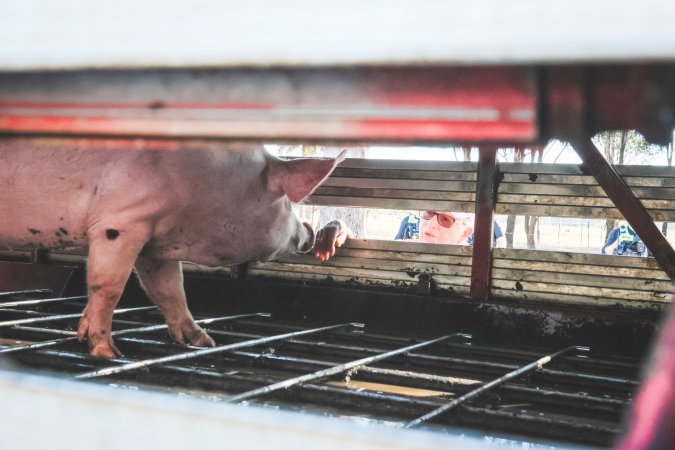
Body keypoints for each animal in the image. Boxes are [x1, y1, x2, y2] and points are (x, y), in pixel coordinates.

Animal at [0, 139, 346, 356]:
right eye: (286, 202)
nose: (309, 231)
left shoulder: (155, 241)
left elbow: (170, 290)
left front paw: (204, 342)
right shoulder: (121, 221)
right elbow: (108, 286)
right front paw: (107, 353)